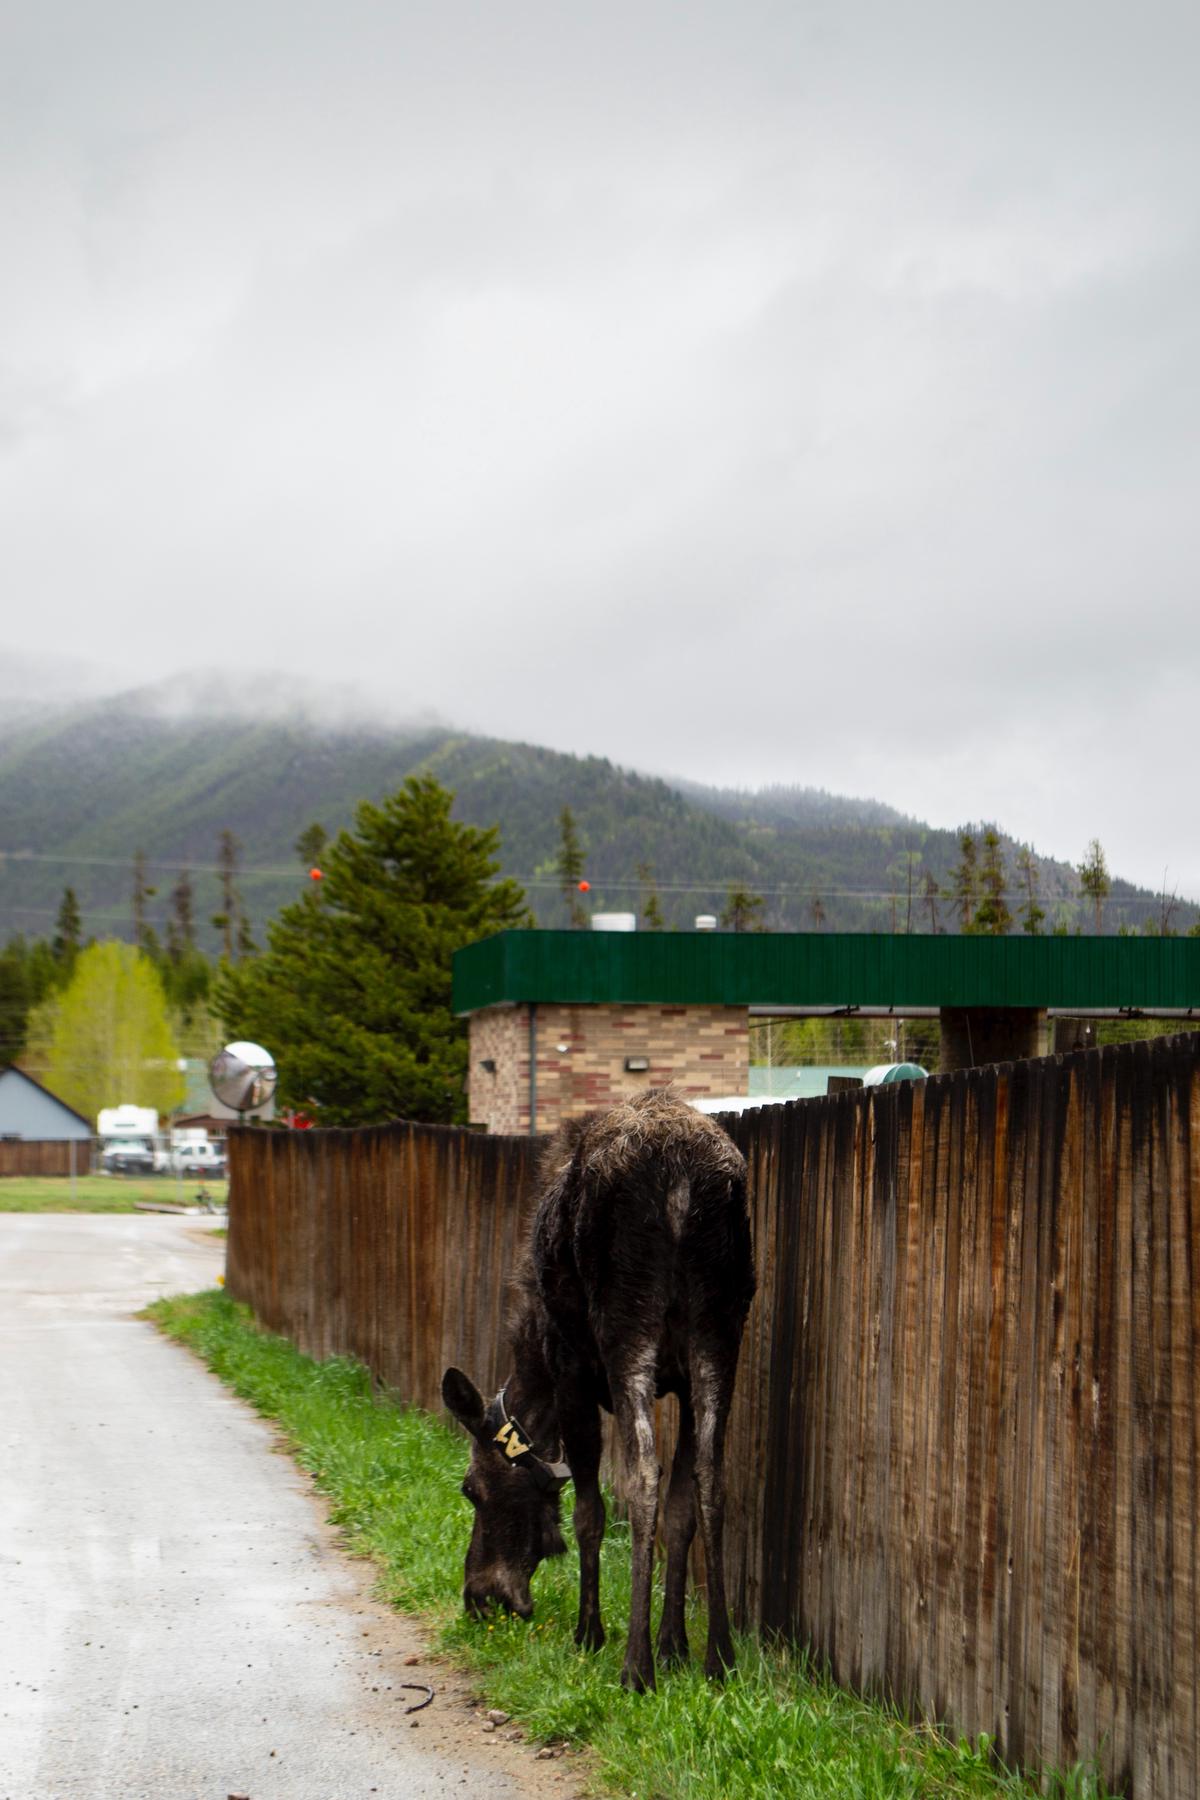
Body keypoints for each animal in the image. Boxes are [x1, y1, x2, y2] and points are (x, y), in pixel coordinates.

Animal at [446, 1087, 755, 1692]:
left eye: (471, 1489)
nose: (480, 1598)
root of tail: (682, 1179)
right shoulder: (684, 1381)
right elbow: (681, 1510)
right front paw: (675, 1645)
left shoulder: (570, 1370)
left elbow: (588, 1510)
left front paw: (591, 1634)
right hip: (720, 1334)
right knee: (712, 1480)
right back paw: (720, 1657)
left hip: (625, 1332)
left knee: (640, 1478)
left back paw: (635, 1666)